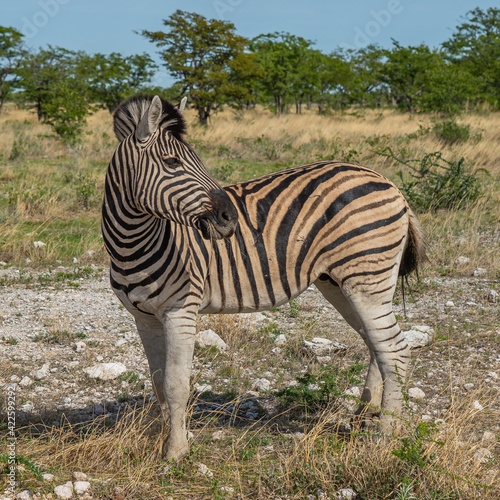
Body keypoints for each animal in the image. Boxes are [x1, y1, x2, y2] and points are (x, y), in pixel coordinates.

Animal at [102, 93, 426, 460]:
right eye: (172, 162)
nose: (229, 219)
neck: (133, 242)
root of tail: (389, 182)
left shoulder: (180, 311)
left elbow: (175, 385)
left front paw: (176, 452)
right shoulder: (143, 318)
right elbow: (158, 384)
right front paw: (161, 440)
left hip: (367, 278)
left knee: (395, 350)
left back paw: (386, 438)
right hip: (339, 283)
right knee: (377, 345)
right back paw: (363, 415)